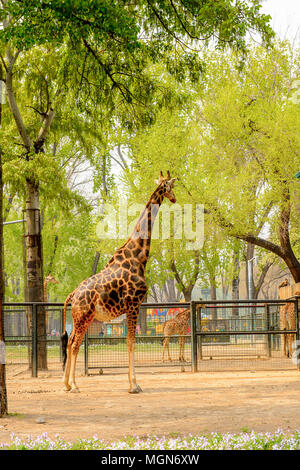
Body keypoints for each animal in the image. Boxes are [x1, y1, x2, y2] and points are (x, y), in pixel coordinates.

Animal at [61, 171, 177, 392]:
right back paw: (74, 385)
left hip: (82, 317)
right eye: (169, 187)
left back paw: (67, 384)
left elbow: (130, 342)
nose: (174, 199)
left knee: (72, 342)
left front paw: (133, 383)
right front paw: (134, 385)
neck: (138, 256)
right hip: (82, 316)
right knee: (74, 344)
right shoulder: (134, 304)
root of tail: (73, 294)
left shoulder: (133, 307)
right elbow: (131, 342)